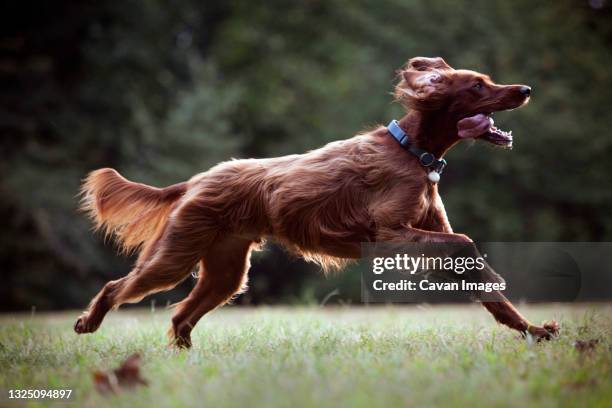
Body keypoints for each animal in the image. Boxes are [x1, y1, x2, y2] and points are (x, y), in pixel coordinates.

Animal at [75, 57, 560, 348]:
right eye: (477, 85)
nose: (525, 89)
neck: (412, 151)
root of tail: (195, 181)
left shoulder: (428, 232)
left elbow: (491, 294)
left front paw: (535, 331)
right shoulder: (389, 233)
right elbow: (465, 241)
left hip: (226, 272)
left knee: (181, 318)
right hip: (175, 256)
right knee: (117, 287)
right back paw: (88, 323)